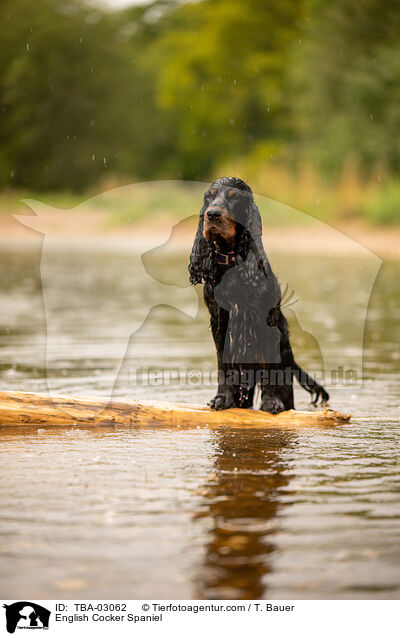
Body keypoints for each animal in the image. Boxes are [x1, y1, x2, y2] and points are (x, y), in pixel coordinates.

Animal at [189, 176, 330, 414]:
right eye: (210, 195)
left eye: (234, 196)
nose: (212, 214)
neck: (233, 264)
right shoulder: (219, 323)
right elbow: (222, 365)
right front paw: (222, 398)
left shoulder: (267, 324)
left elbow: (269, 368)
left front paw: (271, 402)